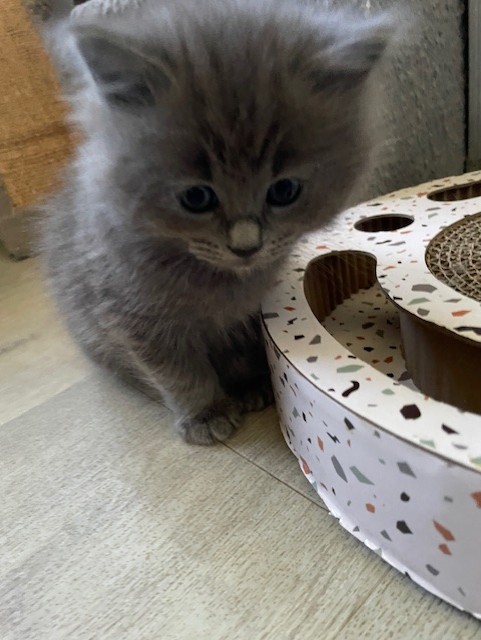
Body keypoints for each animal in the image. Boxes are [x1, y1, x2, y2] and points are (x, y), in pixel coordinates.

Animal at [41, 0, 392, 444]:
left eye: (284, 191)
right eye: (196, 198)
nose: (246, 245)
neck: (219, 283)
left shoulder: (245, 315)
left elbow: (238, 352)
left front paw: (250, 386)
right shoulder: (135, 317)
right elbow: (180, 373)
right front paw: (206, 413)